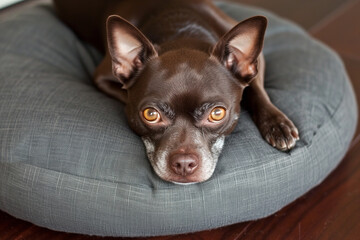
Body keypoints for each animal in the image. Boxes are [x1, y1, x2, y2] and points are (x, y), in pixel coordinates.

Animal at [53, 0, 300, 184]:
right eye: (151, 115)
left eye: (217, 114)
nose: (183, 163)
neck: (181, 30)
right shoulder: (101, 78)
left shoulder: (256, 62)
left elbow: (256, 90)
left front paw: (277, 124)